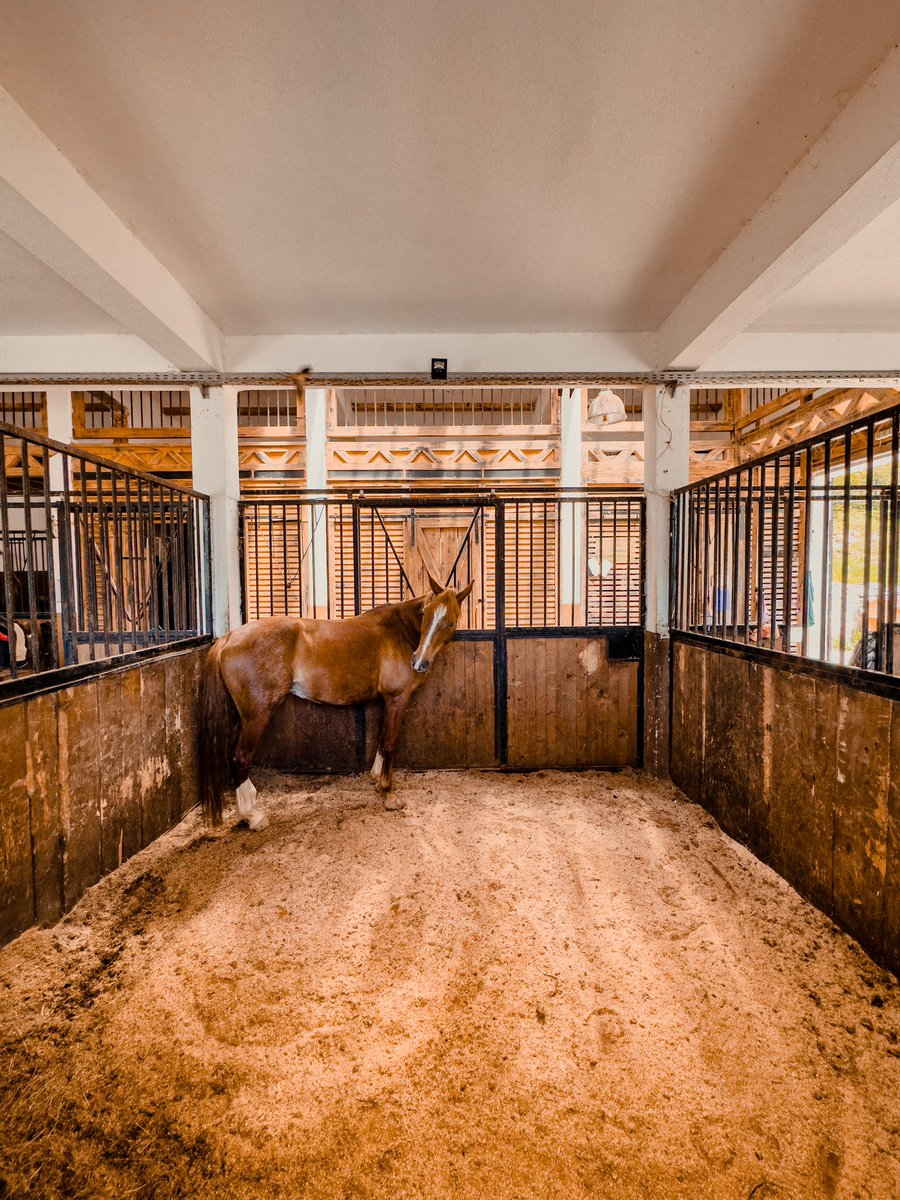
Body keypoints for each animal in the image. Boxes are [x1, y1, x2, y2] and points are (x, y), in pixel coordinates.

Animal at [197, 572, 474, 829]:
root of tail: (229, 638)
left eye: (449, 621)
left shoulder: (386, 701)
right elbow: (390, 743)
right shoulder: (397, 699)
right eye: (425, 614)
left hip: (241, 717)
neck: (400, 631)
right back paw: (253, 817)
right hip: (257, 716)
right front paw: (389, 793)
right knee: (240, 757)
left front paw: (376, 779)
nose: (418, 661)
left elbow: (382, 738)